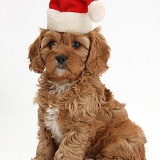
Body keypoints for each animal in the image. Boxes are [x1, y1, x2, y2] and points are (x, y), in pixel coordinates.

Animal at [28, 27, 146, 160]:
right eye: (51, 43)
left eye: (77, 44)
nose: (60, 57)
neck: (63, 84)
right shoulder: (44, 125)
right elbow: (43, 149)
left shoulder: (80, 127)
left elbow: (66, 151)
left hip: (121, 140)